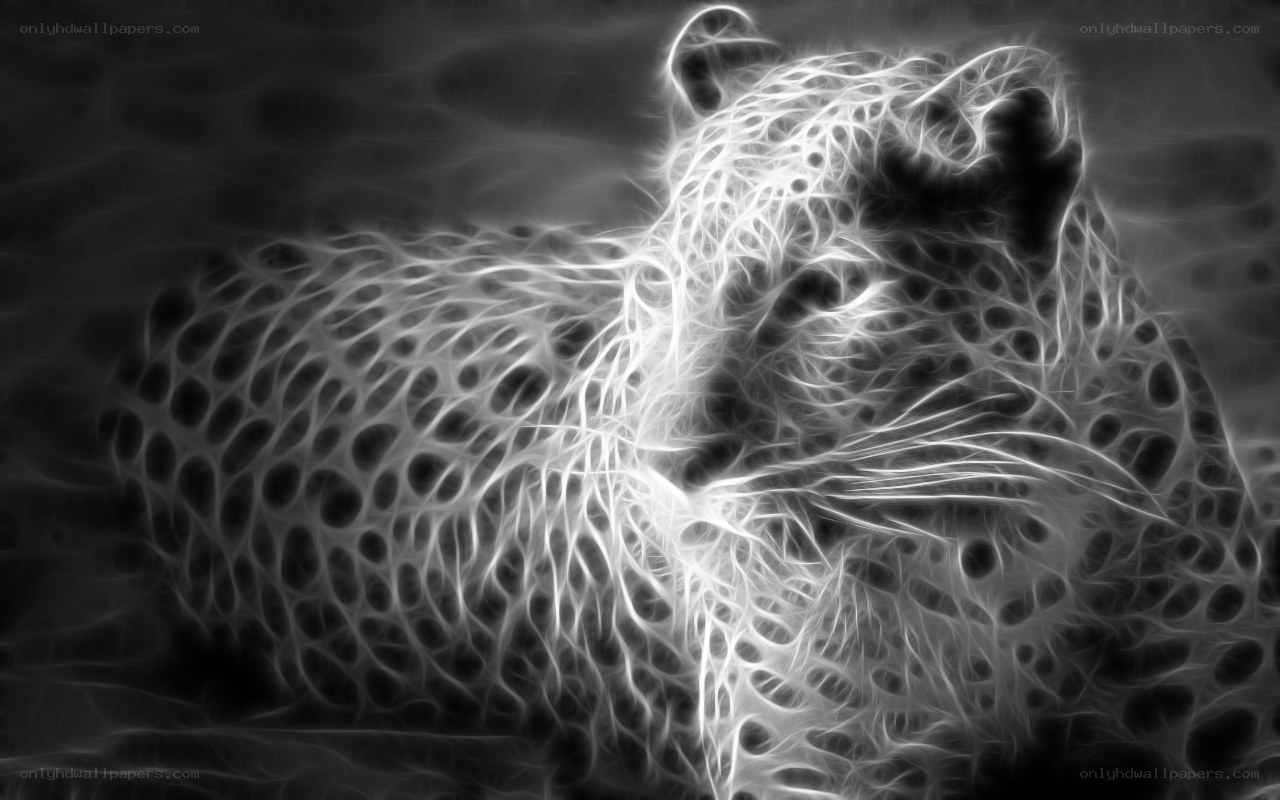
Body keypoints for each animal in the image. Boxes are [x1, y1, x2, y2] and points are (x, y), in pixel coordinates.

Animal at [103, 5, 1280, 799]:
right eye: (662, 280)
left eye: (825, 291)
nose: (667, 470)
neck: (1003, 528)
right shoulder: (816, 771)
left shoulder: (1234, 735)